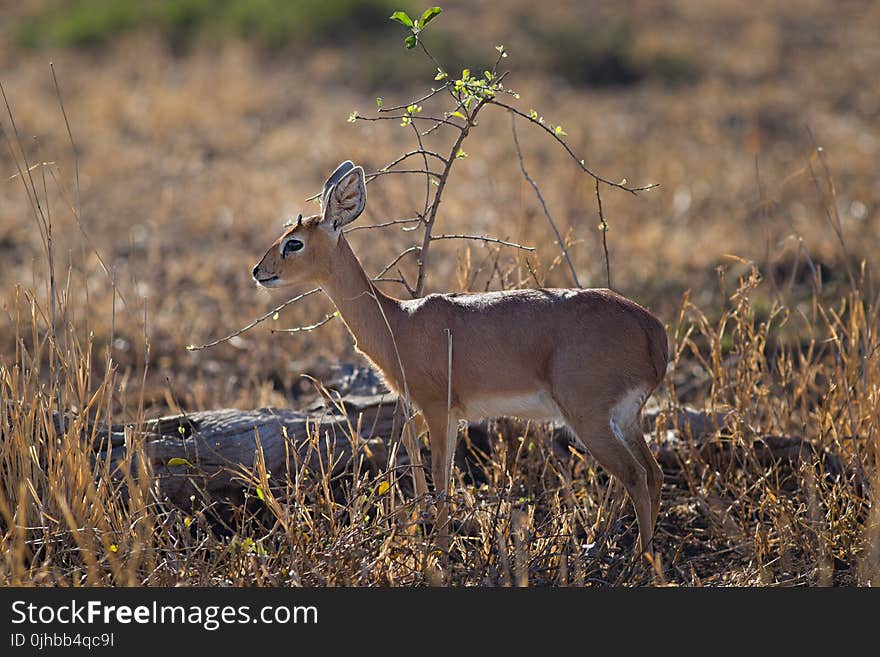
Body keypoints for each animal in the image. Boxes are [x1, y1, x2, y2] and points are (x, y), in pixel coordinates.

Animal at [249, 160, 668, 552]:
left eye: (294, 243)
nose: (258, 271)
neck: (398, 323)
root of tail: (652, 329)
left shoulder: (437, 407)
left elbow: (440, 475)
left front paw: (439, 549)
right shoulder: (449, 412)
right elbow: (420, 452)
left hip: (589, 417)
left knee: (634, 475)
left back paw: (638, 558)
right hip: (626, 417)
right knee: (654, 472)